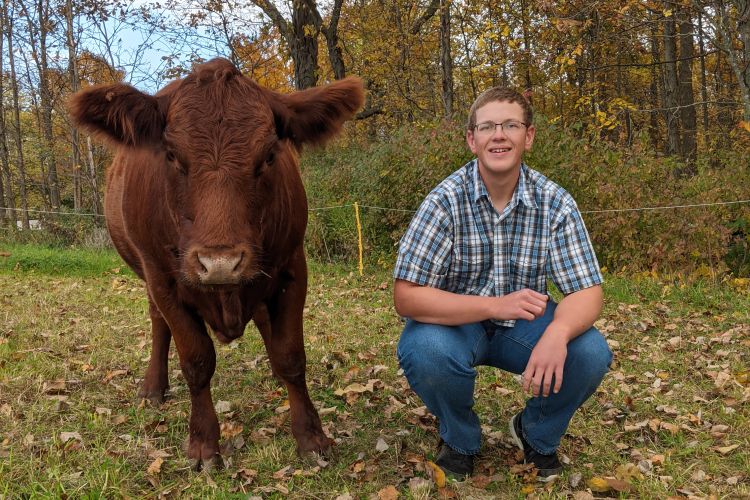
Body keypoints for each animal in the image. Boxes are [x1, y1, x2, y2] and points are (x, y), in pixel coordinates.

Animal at [70, 58, 364, 468]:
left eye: (269, 155)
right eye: (171, 155)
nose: (220, 263)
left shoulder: (292, 267)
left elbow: (291, 355)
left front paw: (311, 436)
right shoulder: (163, 280)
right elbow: (196, 360)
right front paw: (204, 444)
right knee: (158, 323)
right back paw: (153, 387)